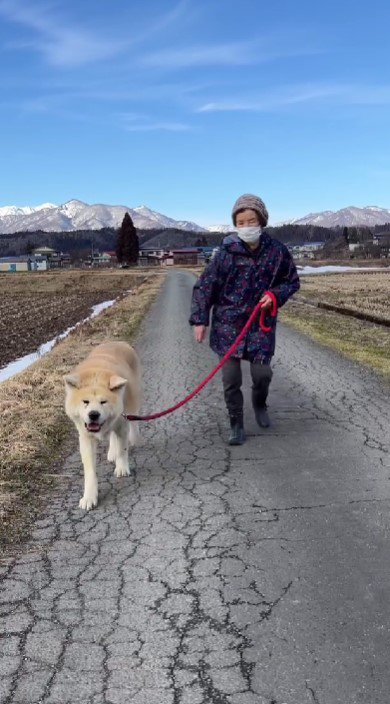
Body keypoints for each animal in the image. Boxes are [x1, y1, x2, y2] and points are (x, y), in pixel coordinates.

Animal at [62, 342, 139, 512]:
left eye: (103, 402)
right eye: (85, 401)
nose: (93, 414)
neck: (96, 378)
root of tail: (118, 342)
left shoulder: (121, 424)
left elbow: (123, 449)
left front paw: (121, 467)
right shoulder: (86, 437)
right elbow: (90, 470)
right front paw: (89, 497)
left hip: (133, 399)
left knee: (134, 419)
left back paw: (133, 439)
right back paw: (111, 452)